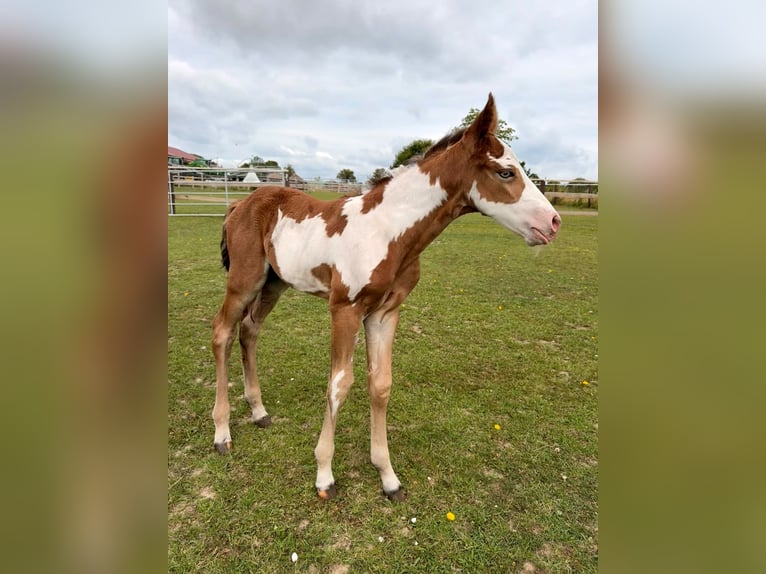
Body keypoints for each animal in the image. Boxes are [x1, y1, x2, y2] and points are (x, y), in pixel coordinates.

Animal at [211, 93, 561, 501]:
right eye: (506, 172)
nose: (553, 223)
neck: (387, 230)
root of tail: (241, 203)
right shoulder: (344, 309)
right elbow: (339, 385)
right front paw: (324, 475)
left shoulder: (385, 313)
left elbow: (380, 384)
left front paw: (388, 477)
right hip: (244, 281)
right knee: (222, 333)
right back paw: (222, 433)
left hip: (274, 284)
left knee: (249, 330)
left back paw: (259, 411)